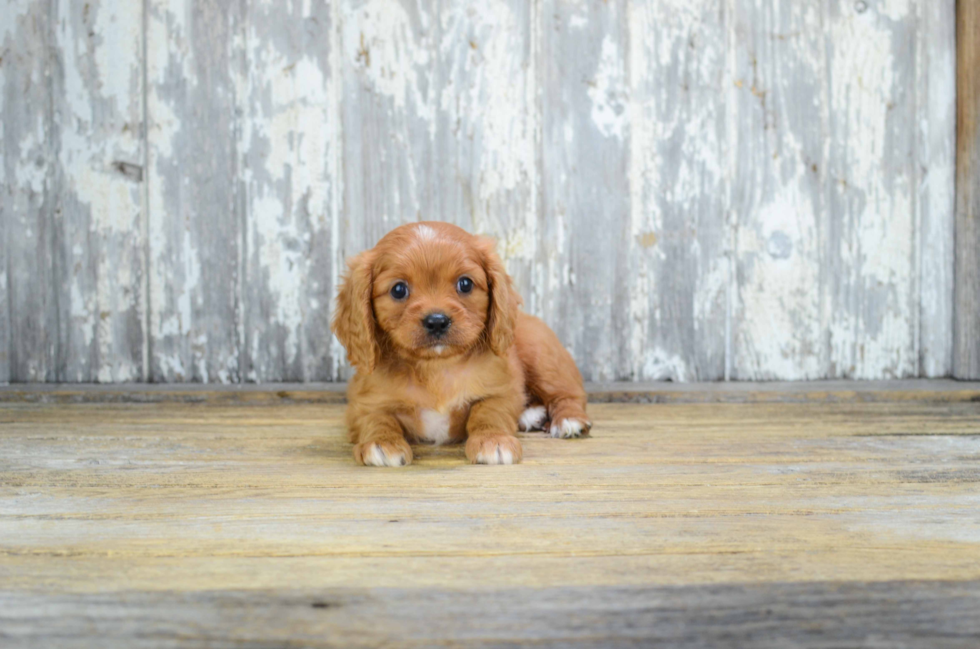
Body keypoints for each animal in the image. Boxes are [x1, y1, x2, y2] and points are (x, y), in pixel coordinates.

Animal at [330, 223, 588, 466]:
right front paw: (381, 443)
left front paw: (493, 440)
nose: (437, 321)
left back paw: (568, 420)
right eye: (398, 289)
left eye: (465, 284)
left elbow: (487, 412)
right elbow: (377, 418)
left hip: (543, 358)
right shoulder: (364, 402)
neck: (436, 367)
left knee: (568, 393)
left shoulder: (500, 390)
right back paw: (530, 414)